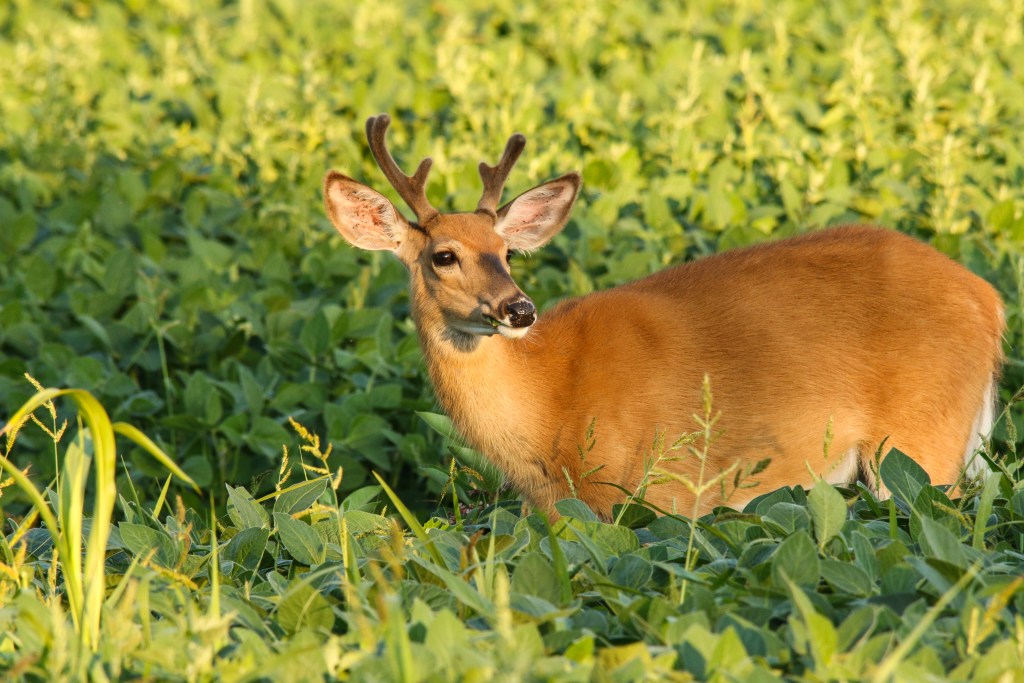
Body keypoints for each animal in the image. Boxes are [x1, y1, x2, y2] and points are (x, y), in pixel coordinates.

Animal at [323, 113, 1003, 518]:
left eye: (507, 251)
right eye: (443, 255)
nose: (518, 308)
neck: (547, 404)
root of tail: (989, 301)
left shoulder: (645, 498)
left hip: (919, 443)